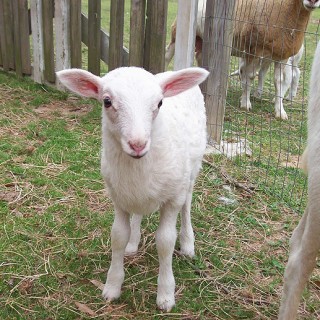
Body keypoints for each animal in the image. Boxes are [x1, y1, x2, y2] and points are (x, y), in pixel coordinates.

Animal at [56, 66, 209, 312]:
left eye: (159, 103)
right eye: (107, 101)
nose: (137, 144)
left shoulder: (173, 198)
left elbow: (165, 242)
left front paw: (165, 295)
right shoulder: (118, 197)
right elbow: (118, 236)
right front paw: (112, 287)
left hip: (191, 171)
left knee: (187, 203)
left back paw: (187, 244)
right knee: (137, 213)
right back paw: (133, 242)